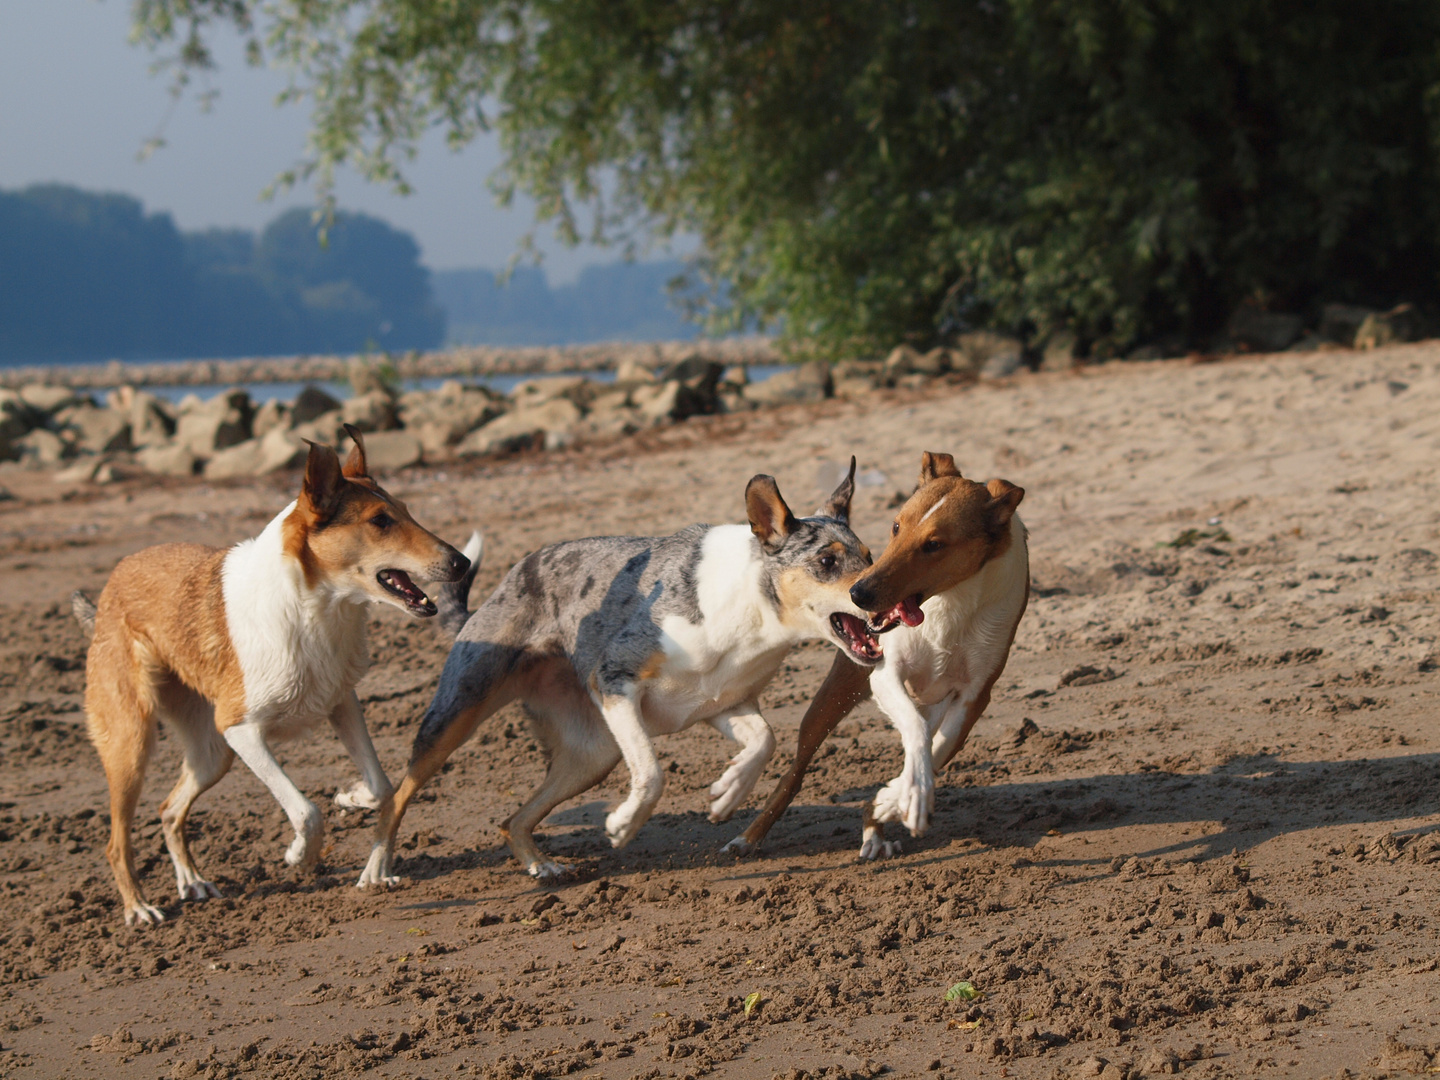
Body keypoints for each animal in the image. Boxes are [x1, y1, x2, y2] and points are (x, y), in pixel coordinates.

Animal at [74, 426, 466, 927]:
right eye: (380, 520)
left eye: (406, 511)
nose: (461, 563)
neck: (312, 607)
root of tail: (112, 581)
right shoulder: (242, 729)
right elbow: (306, 811)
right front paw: (301, 854)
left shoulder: (340, 701)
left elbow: (381, 786)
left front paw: (351, 796)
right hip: (134, 744)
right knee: (116, 841)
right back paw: (139, 907)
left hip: (211, 752)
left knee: (168, 810)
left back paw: (192, 881)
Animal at [358, 460, 875, 881]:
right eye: (826, 561)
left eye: (871, 556)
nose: (874, 595)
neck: (752, 606)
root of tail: (503, 585)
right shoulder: (615, 681)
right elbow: (651, 772)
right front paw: (623, 826)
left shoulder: (722, 703)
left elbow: (764, 740)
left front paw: (728, 793)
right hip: (456, 715)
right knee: (398, 797)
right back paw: (378, 870)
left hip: (592, 755)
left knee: (513, 820)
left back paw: (541, 866)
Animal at [731, 452, 1025, 858]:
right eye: (896, 525)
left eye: (934, 544)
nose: (860, 593)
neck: (952, 603)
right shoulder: (886, 674)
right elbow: (916, 735)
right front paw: (905, 797)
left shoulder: (973, 696)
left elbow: (932, 751)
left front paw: (893, 801)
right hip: (835, 694)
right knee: (795, 771)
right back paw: (749, 837)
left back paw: (876, 828)